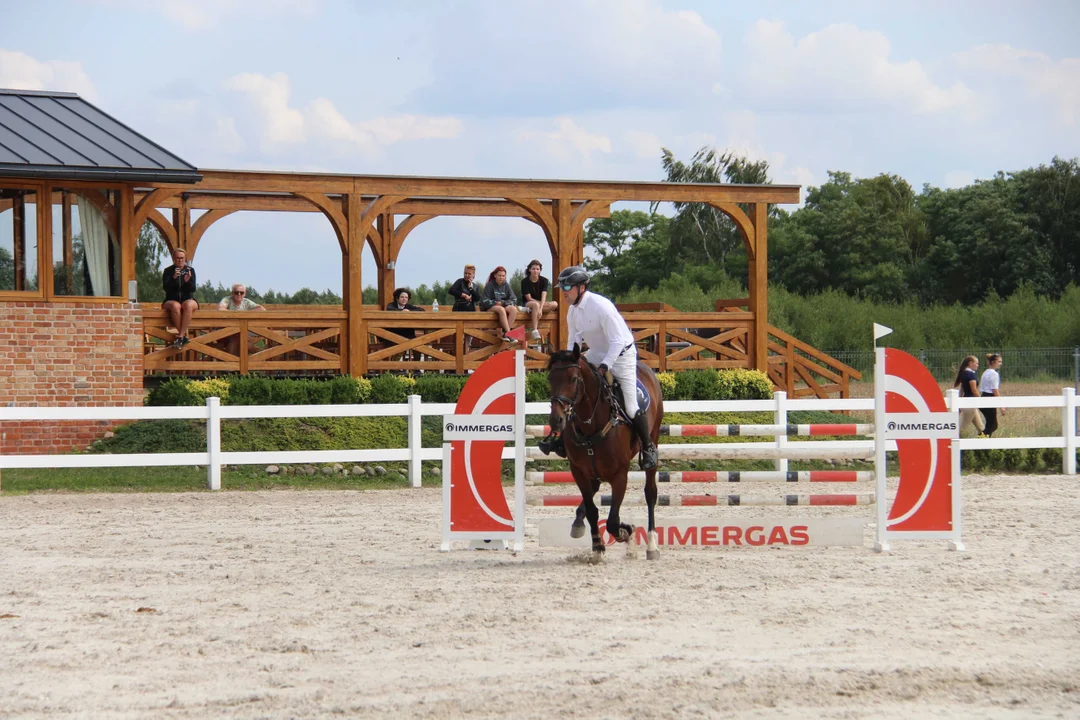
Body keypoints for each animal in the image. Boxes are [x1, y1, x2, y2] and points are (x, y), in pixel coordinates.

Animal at [544, 345, 660, 561]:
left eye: (574, 379)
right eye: (550, 378)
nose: (556, 421)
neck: (591, 424)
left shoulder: (620, 475)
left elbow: (613, 521)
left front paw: (626, 531)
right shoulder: (578, 472)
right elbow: (592, 510)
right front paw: (597, 545)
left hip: (653, 439)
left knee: (650, 493)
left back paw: (652, 546)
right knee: (595, 487)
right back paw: (578, 522)